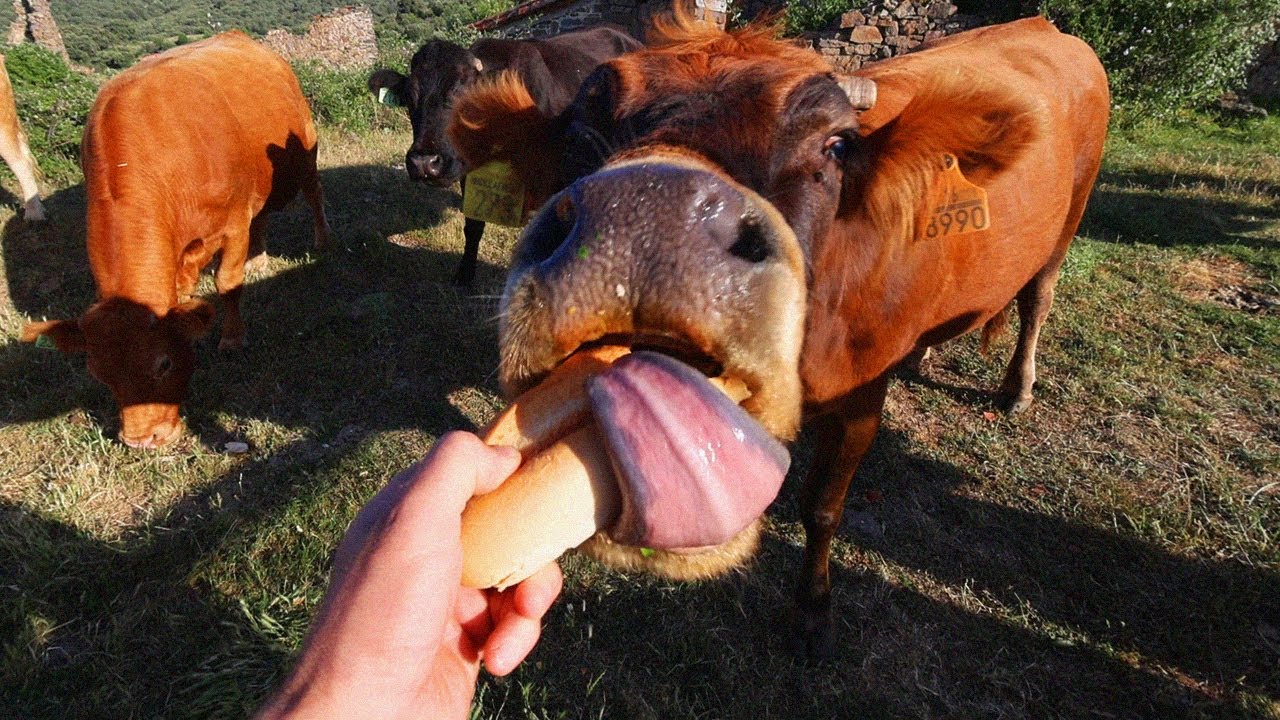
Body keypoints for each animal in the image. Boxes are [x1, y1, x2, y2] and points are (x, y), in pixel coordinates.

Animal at [21, 31, 330, 449]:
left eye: (163, 364)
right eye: (100, 374)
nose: (142, 439)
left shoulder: (233, 223)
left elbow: (227, 284)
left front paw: (232, 338)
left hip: (304, 155)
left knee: (313, 193)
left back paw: (322, 240)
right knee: (262, 216)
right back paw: (259, 257)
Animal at [447, 14, 1109, 656]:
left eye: (835, 145)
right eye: (579, 135)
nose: (645, 212)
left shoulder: (862, 403)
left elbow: (823, 508)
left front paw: (813, 611)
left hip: (1068, 225)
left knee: (1038, 301)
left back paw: (1017, 389)